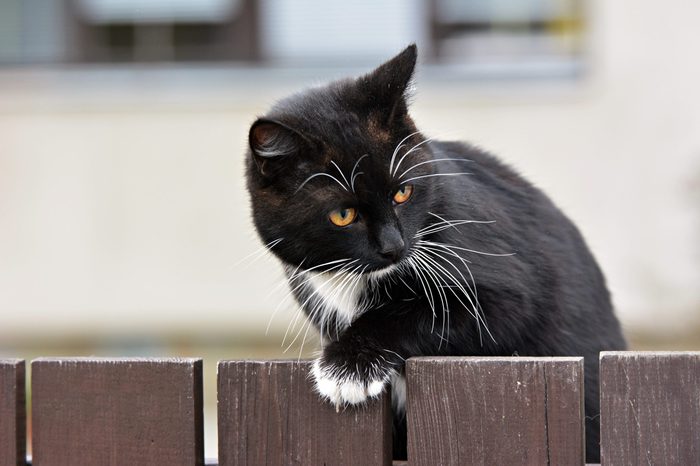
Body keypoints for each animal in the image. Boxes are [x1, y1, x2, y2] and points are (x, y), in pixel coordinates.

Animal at [245, 44, 624, 462]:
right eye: (343, 215)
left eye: (403, 192)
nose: (393, 247)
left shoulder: (501, 285)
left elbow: (428, 311)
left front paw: (347, 368)